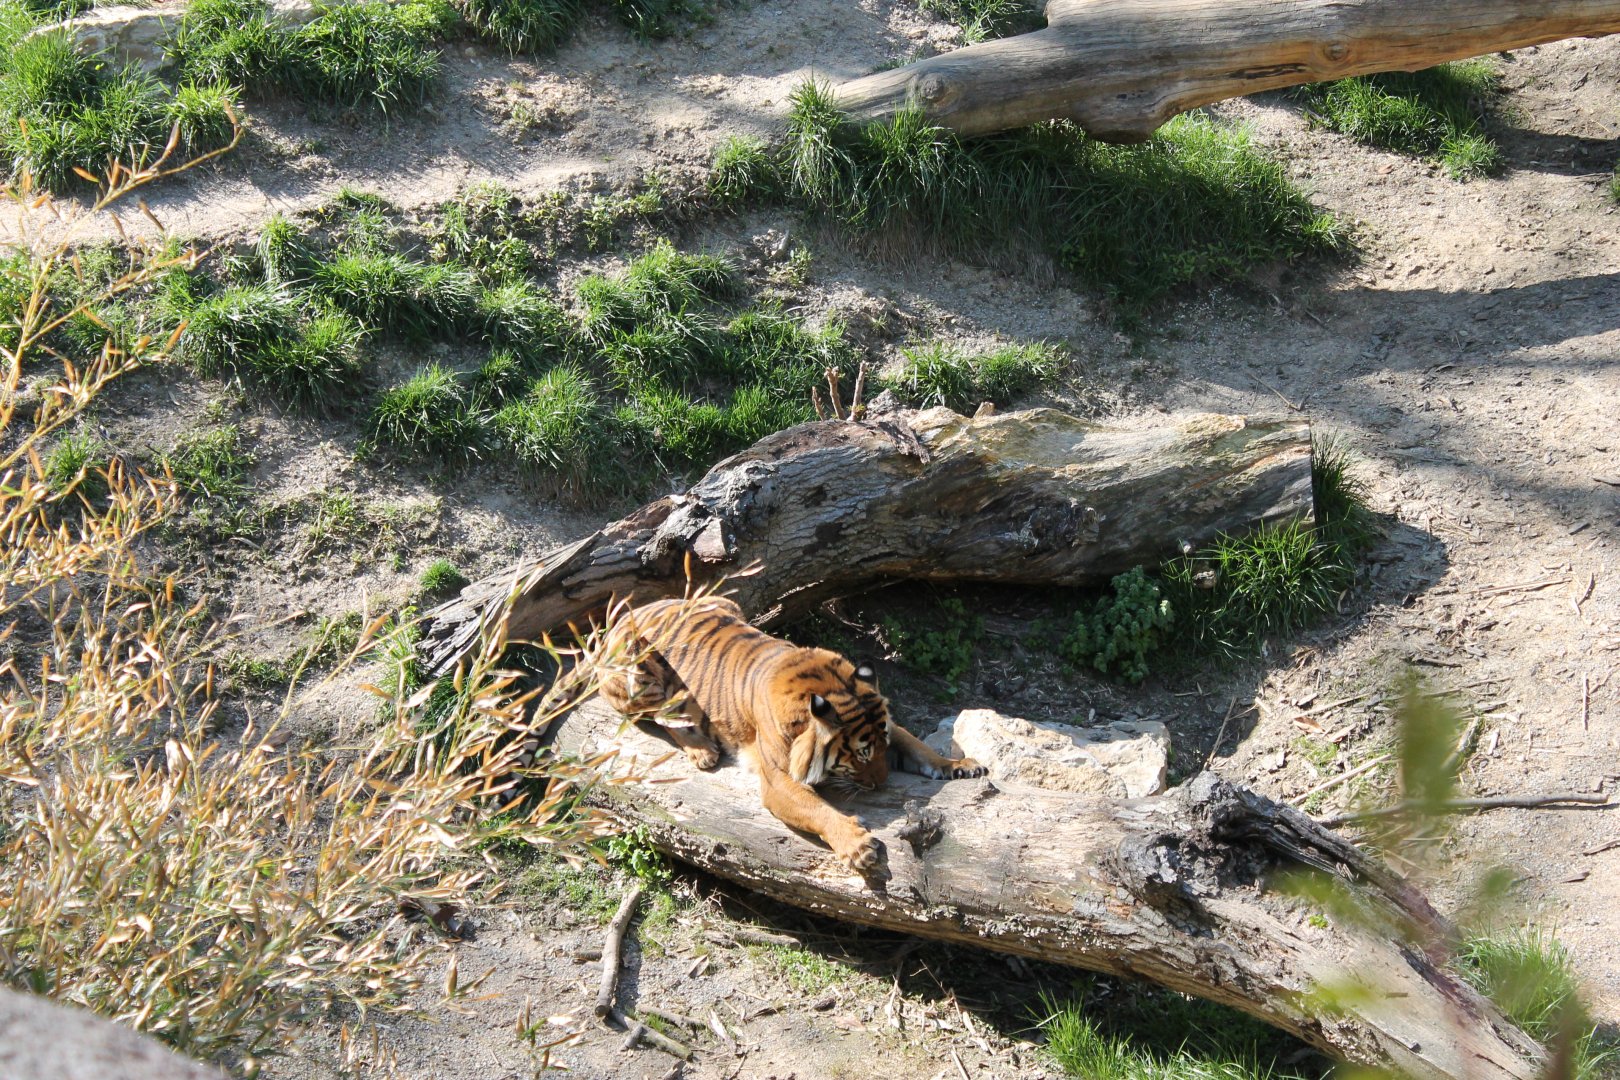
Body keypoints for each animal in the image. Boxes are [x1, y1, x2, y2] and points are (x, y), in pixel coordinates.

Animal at [597, 594, 985, 873]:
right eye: (861, 754)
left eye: (882, 747)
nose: (882, 784)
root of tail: (623, 615)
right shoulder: (777, 779)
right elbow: (818, 809)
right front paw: (857, 845)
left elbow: (920, 748)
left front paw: (960, 764)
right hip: (636, 669)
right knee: (660, 716)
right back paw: (701, 750)